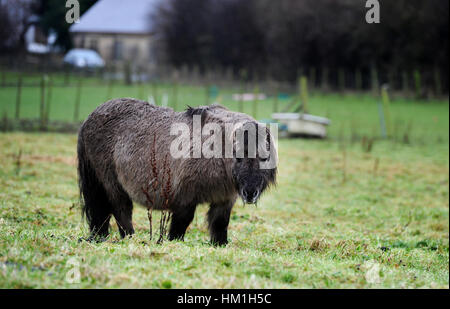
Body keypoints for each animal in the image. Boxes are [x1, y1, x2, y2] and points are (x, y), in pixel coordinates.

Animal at [77, 97, 276, 244]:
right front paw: (172, 242)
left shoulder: (224, 200)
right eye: (238, 157)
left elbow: (220, 225)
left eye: (264, 158)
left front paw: (220, 245)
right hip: (111, 183)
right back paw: (130, 237)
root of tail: (89, 118)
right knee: (121, 209)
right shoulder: (185, 198)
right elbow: (181, 224)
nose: (250, 193)